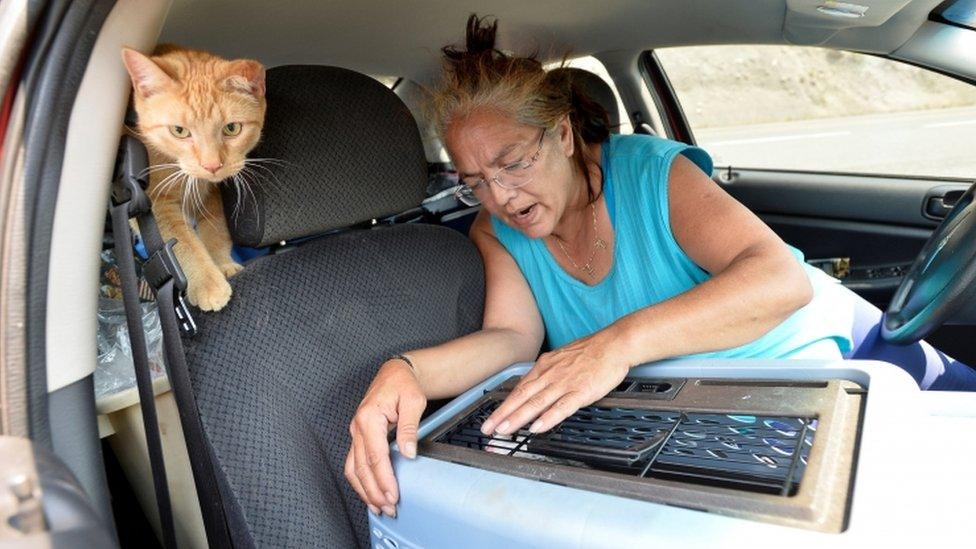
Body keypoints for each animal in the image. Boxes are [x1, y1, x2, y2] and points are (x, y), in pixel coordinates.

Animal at [122, 45, 266, 310]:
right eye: (179, 131)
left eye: (232, 128)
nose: (212, 165)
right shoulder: (155, 203)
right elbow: (182, 242)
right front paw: (208, 283)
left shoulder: (213, 193)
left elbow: (215, 230)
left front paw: (222, 264)